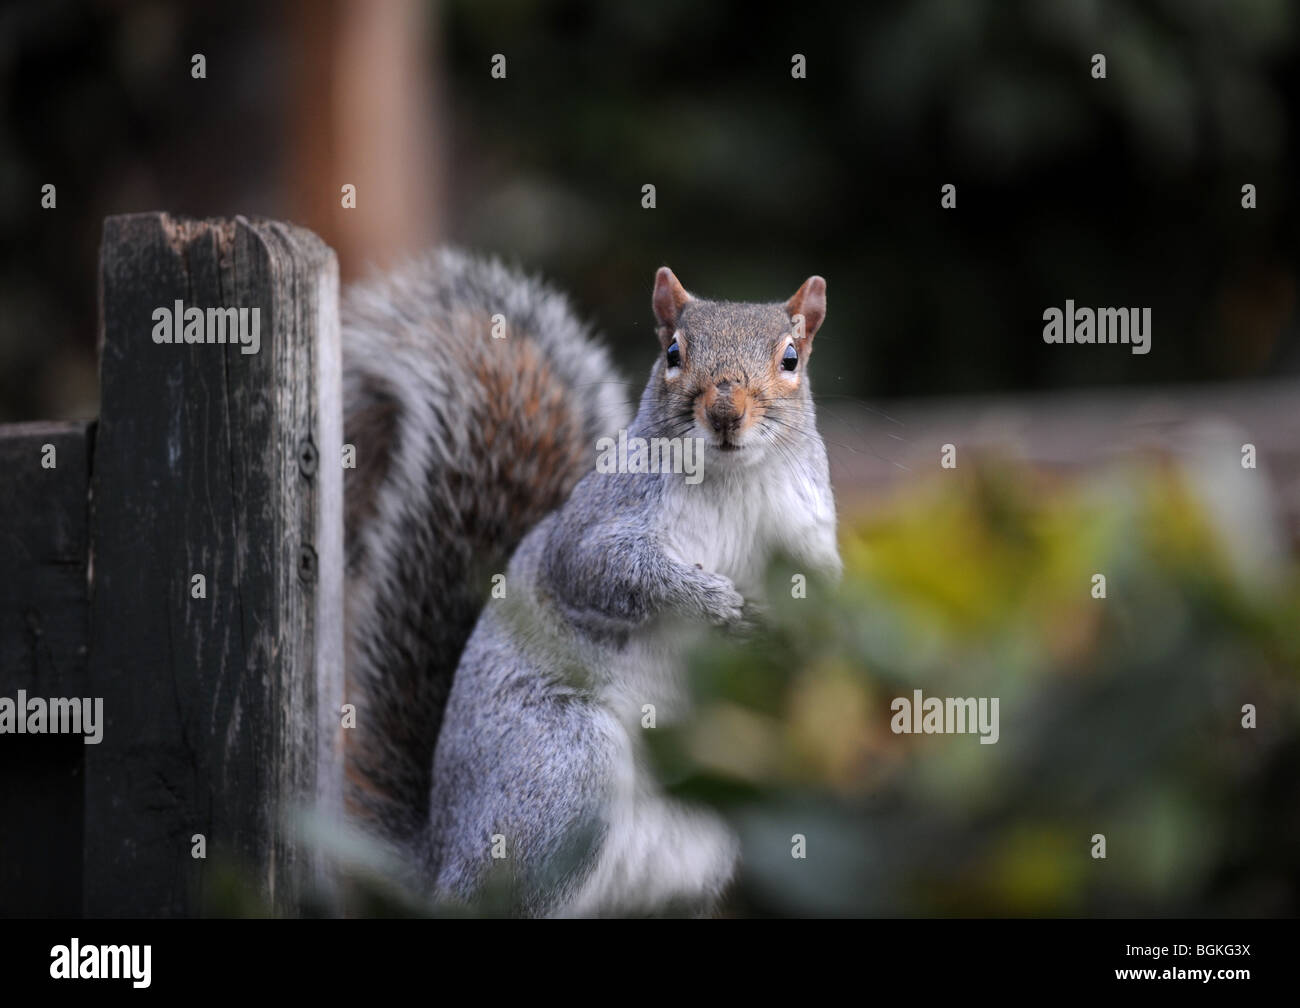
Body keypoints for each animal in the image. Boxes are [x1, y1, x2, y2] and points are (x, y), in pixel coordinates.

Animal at [340, 249, 837, 915]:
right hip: (561, 771)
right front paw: (710, 601)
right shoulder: (599, 520)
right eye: (673, 352)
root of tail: (438, 859)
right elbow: (595, 567)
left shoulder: (808, 533)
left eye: (790, 359)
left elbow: (826, 599)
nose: (725, 413)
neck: (733, 478)